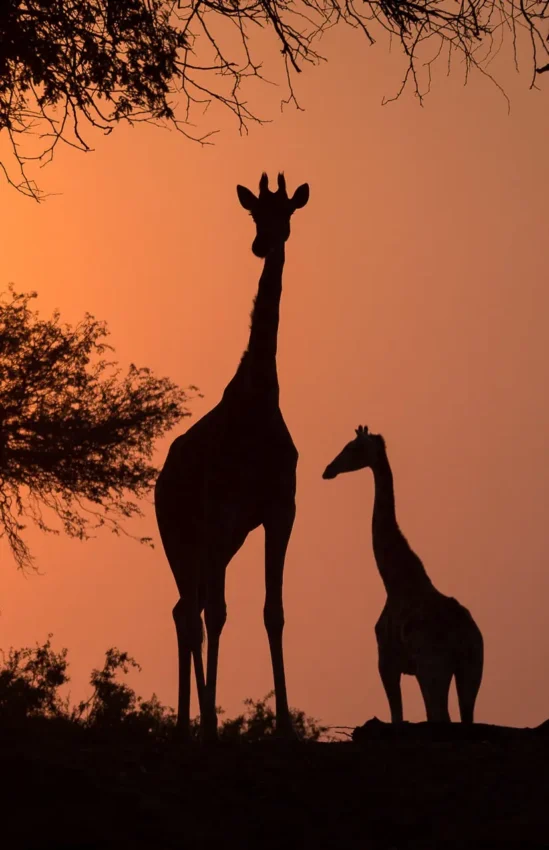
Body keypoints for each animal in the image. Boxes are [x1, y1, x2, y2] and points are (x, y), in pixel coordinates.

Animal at [155, 172, 309, 743]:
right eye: (253, 214)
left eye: (287, 212)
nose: (263, 243)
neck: (260, 398)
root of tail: (160, 479)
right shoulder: (222, 514)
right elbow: (221, 614)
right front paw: (212, 723)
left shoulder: (280, 510)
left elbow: (273, 611)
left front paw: (285, 726)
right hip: (182, 536)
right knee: (191, 612)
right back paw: (191, 725)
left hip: (218, 543)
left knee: (190, 608)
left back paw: (192, 721)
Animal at [323, 425, 484, 724]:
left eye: (352, 447)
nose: (328, 469)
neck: (394, 580)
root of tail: (463, 632)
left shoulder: (386, 662)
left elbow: (396, 715)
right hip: (472, 668)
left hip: (432, 669)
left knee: (439, 715)